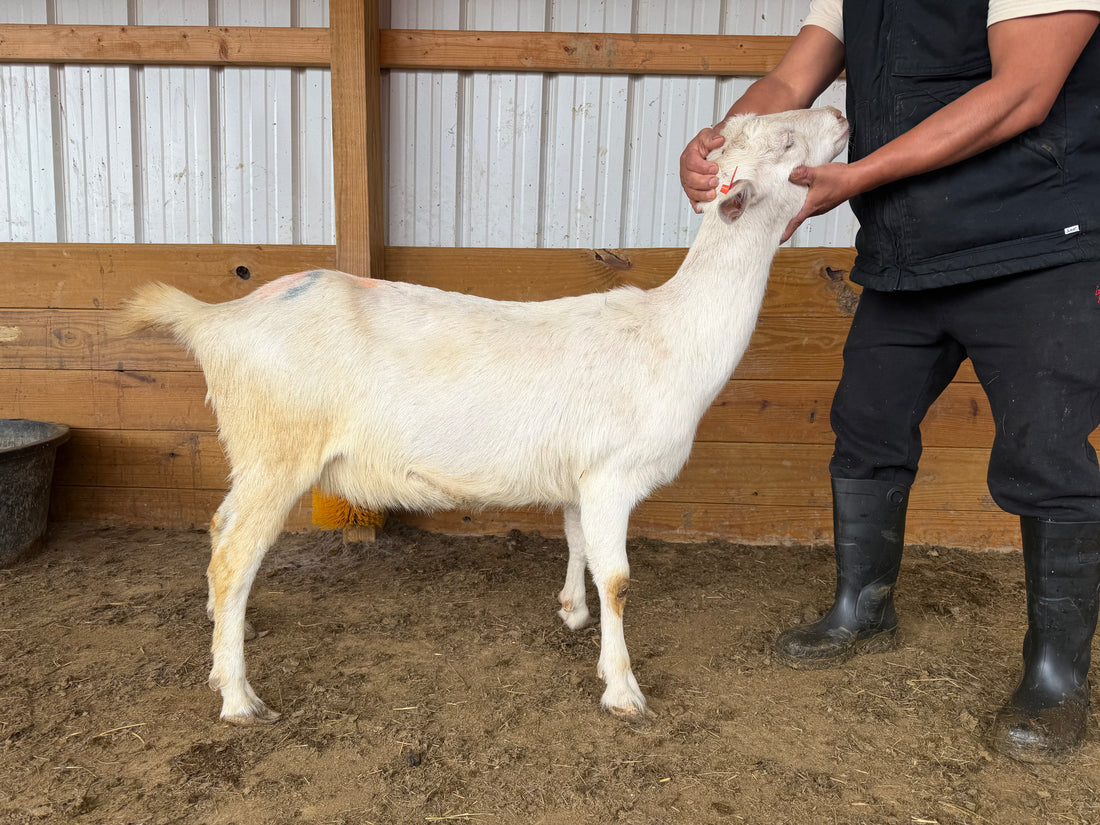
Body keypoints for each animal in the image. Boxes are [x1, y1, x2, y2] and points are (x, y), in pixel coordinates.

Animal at [119, 107, 849, 725]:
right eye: (786, 142)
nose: (840, 114)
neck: (673, 334)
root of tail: (216, 320)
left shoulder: (580, 476)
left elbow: (577, 542)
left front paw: (571, 612)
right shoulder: (613, 475)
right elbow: (617, 579)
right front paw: (622, 688)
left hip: (253, 453)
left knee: (220, 530)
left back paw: (227, 635)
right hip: (278, 450)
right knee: (234, 555)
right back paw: (238, 696)